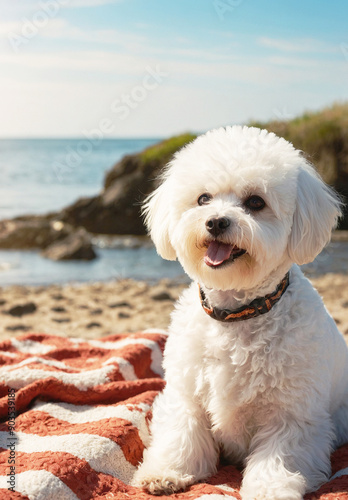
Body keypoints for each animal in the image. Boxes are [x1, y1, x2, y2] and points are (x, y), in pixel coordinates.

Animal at [131, 126, 348, 500]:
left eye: (256, 202)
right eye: (203, 198)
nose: (216, 221)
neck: (236, 314)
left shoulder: (292, 413)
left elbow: (278, 455)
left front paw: (270, 488)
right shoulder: (186, 395)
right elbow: (182, 434)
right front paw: (168, 470)